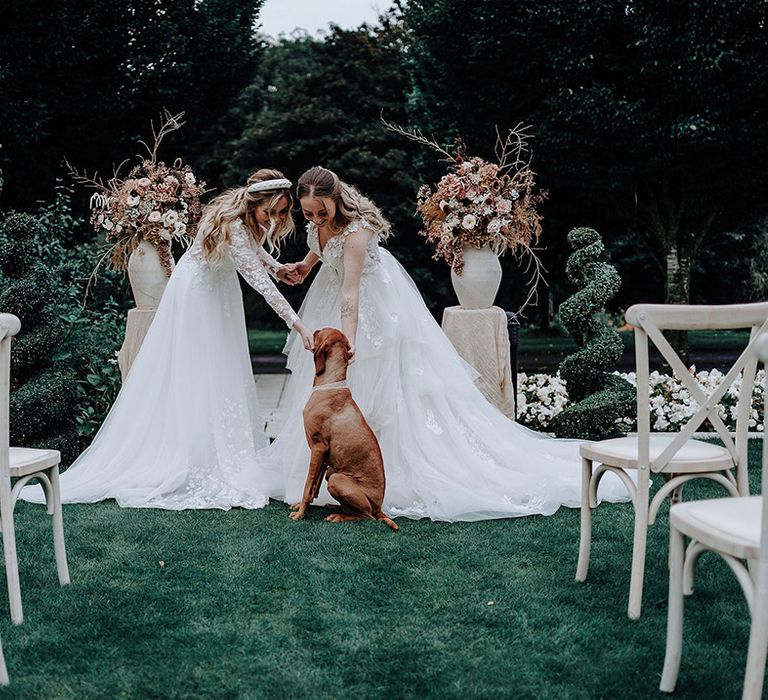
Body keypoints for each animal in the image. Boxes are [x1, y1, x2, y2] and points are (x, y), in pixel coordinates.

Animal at [286, 328, 396, 532]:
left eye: (320, 332)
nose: (313, 331)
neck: (330, 384)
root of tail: (379, 508)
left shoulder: (318, 448)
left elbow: (307, 484)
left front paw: (300, 513)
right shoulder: (323, 455)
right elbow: (314, 486)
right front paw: (301, 506)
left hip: (337, 479)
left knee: (367, 516)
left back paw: (338, 516)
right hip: (332, 471)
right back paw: (335, 506)